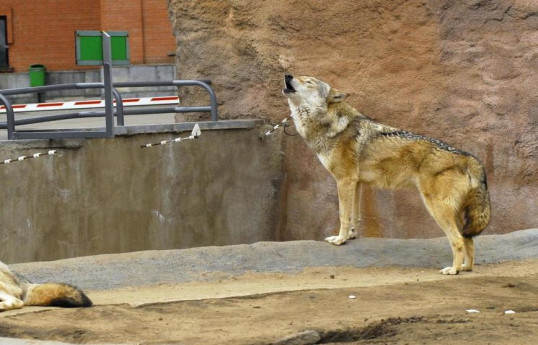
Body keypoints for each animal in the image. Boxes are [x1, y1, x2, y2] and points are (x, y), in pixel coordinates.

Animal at [280, 74, 490, 274]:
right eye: (299, 76)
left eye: (309, 81)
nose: (287, 75)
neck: (330, 124)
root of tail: (471, 159)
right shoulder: (356, 183)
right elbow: (354, 215)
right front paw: (351, 236)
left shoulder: (344, 180)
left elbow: (343, 215)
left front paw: (340, 240)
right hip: (455, 214)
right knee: (469, 240)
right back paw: (466, 268)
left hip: (436, 208)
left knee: (458, 240)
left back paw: (453, 270)